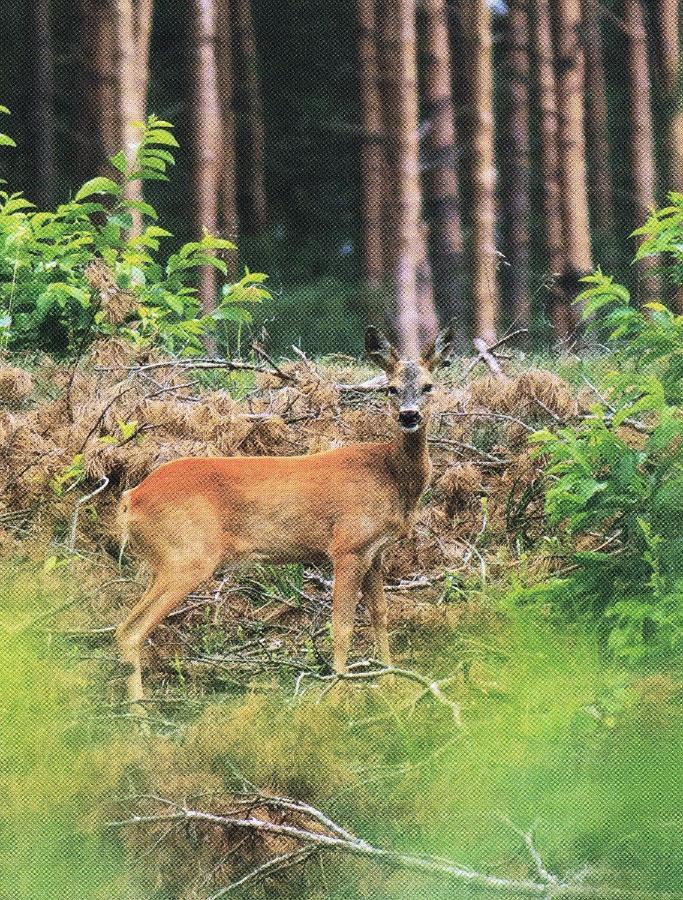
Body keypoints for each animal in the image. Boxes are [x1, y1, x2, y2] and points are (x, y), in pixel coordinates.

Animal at [115, 320, 456, 708]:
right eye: (391, 388)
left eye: (428, 385)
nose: (408, 415)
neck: (389, 473)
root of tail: (131, 498)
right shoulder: (347, 547)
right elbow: (342, 624)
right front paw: (339, 692)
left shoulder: (375, 553)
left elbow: (380, 614)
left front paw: (390, 681)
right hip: (186, 556)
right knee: (130, 630)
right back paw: (140, 714)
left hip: (166, 560)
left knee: (125, 629)